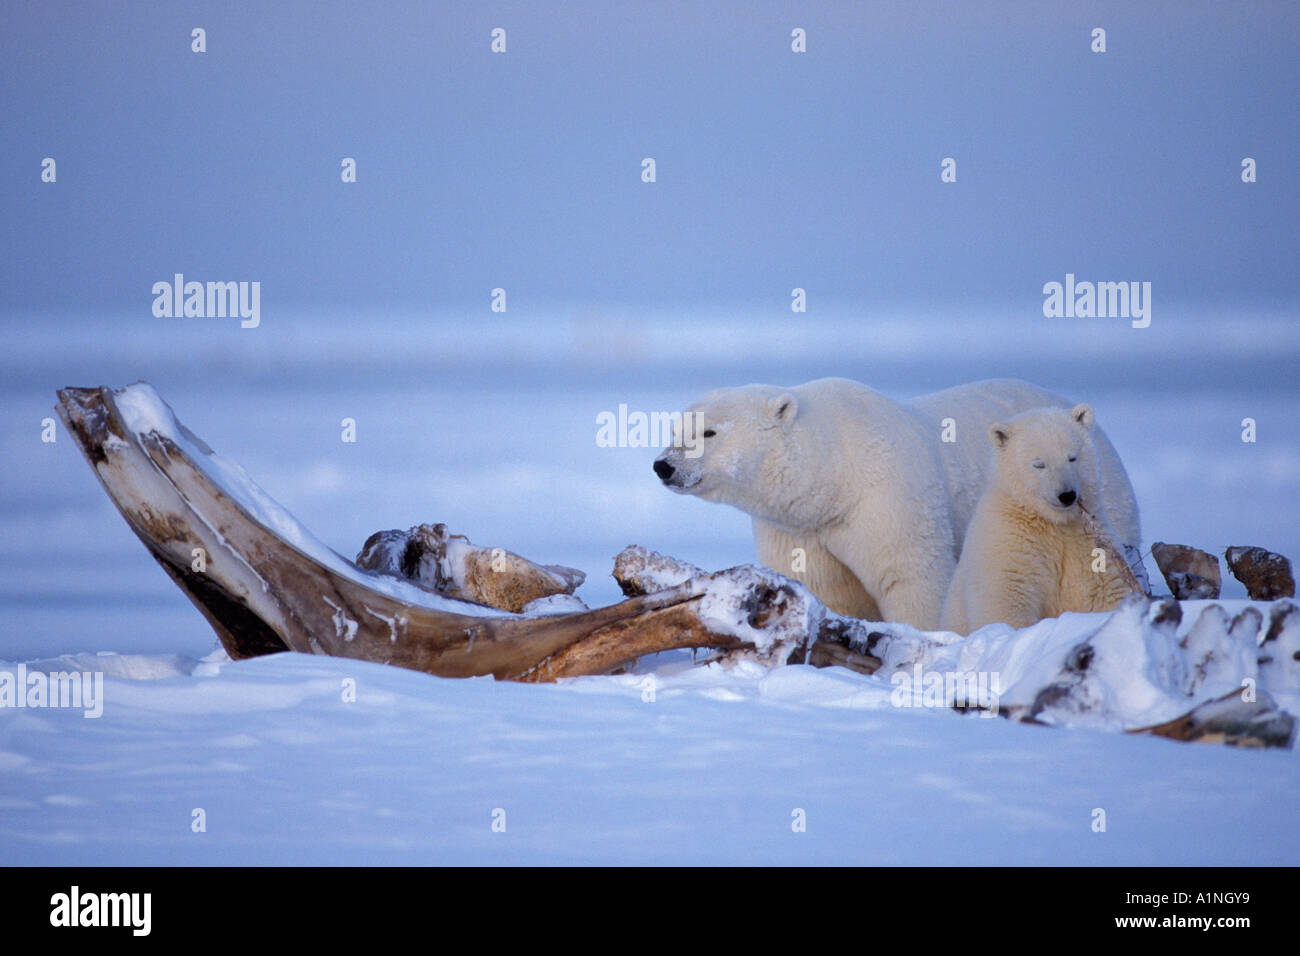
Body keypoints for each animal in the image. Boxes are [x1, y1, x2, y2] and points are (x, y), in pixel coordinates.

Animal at [650, 377, 1138, 632]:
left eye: (709, 432)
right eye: (676, 429)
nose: (663, 466)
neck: (833, 473)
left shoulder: (887, 497)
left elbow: (909, 576)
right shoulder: (799, 529)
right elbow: (825, 587)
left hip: (1097, 493)